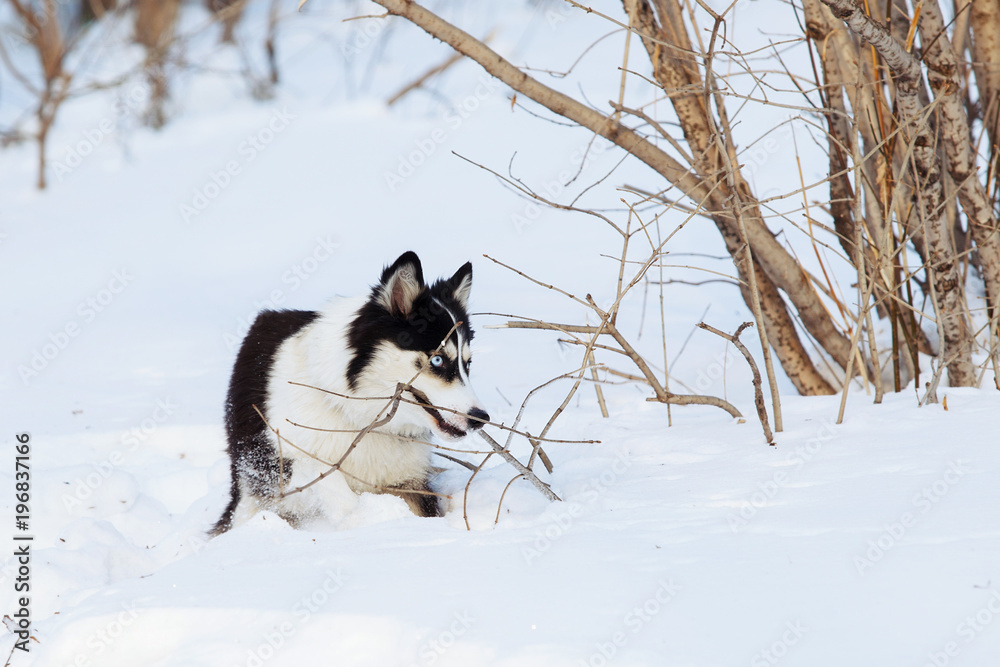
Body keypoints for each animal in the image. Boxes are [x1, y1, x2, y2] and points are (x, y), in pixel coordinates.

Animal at [213, 253, 490, 536]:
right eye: (437, 360)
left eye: (467, 364)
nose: (481, 418)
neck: (360, 415)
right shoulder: (278, 458)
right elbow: (327, 476)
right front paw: (363, 520)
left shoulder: (407, 480)